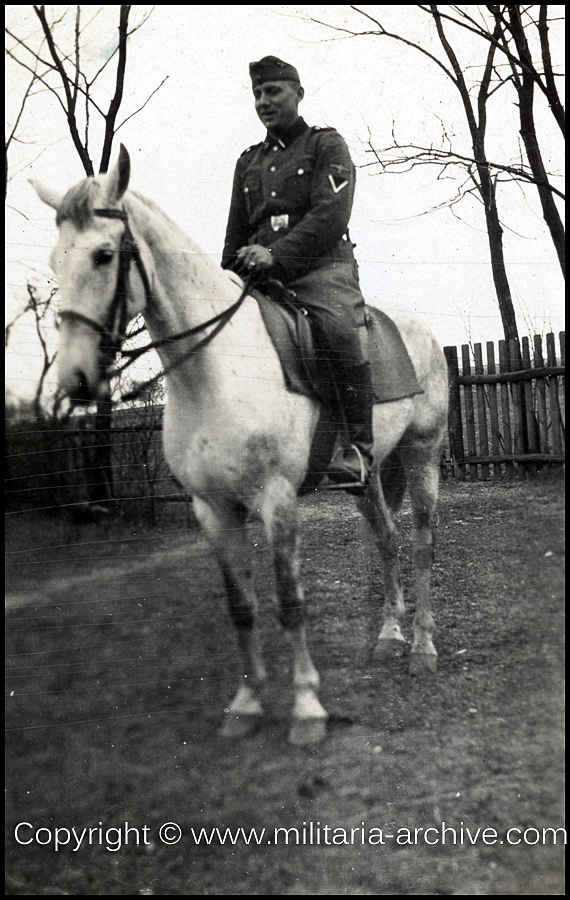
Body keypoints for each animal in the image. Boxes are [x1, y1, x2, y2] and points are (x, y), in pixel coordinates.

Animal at [31, 144, 448, 740]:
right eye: (54, 261)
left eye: (104, 255)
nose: (76, 380)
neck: (214, 369)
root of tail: (419, 330)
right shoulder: (213, 508)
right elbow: (241, 606)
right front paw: (247, 703)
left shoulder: (277, 501)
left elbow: (290, 603)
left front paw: (306, 708)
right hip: (367, 478)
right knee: (387, 540)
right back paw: (390, 637)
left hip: (422, 455)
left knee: (421, 544)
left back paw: (422, 648)